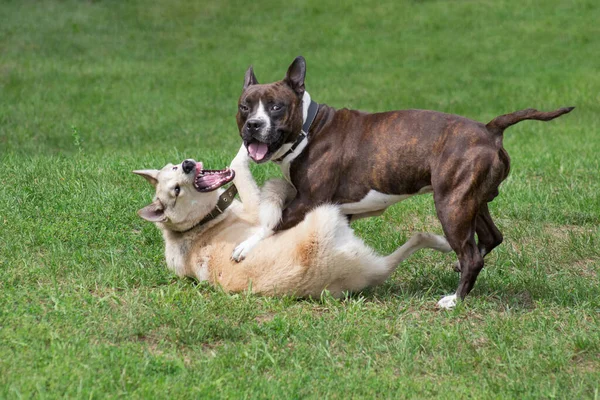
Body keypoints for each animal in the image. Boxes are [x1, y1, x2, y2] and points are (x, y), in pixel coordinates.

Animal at [132, 147, 450, 296]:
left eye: (175, 168)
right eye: (176, 190)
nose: (187, 165)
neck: (200, 223)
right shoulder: (257, 205)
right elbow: (239, 166)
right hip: (327, 213)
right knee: (417, 237)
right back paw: (443, 243)